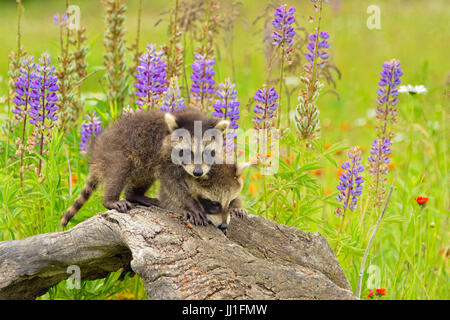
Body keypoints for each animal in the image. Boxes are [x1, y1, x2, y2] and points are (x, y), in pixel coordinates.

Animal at [59, 110, 229, 228]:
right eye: (186, 152)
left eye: (207, 153)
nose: (198, 172)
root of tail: (98, 155)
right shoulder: (165, 161)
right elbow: (174, 186)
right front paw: (191, 205)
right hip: (116, 154)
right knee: (120, 170)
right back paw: (110, 200)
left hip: (143, 164)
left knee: (144, 177)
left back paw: (135, 195)